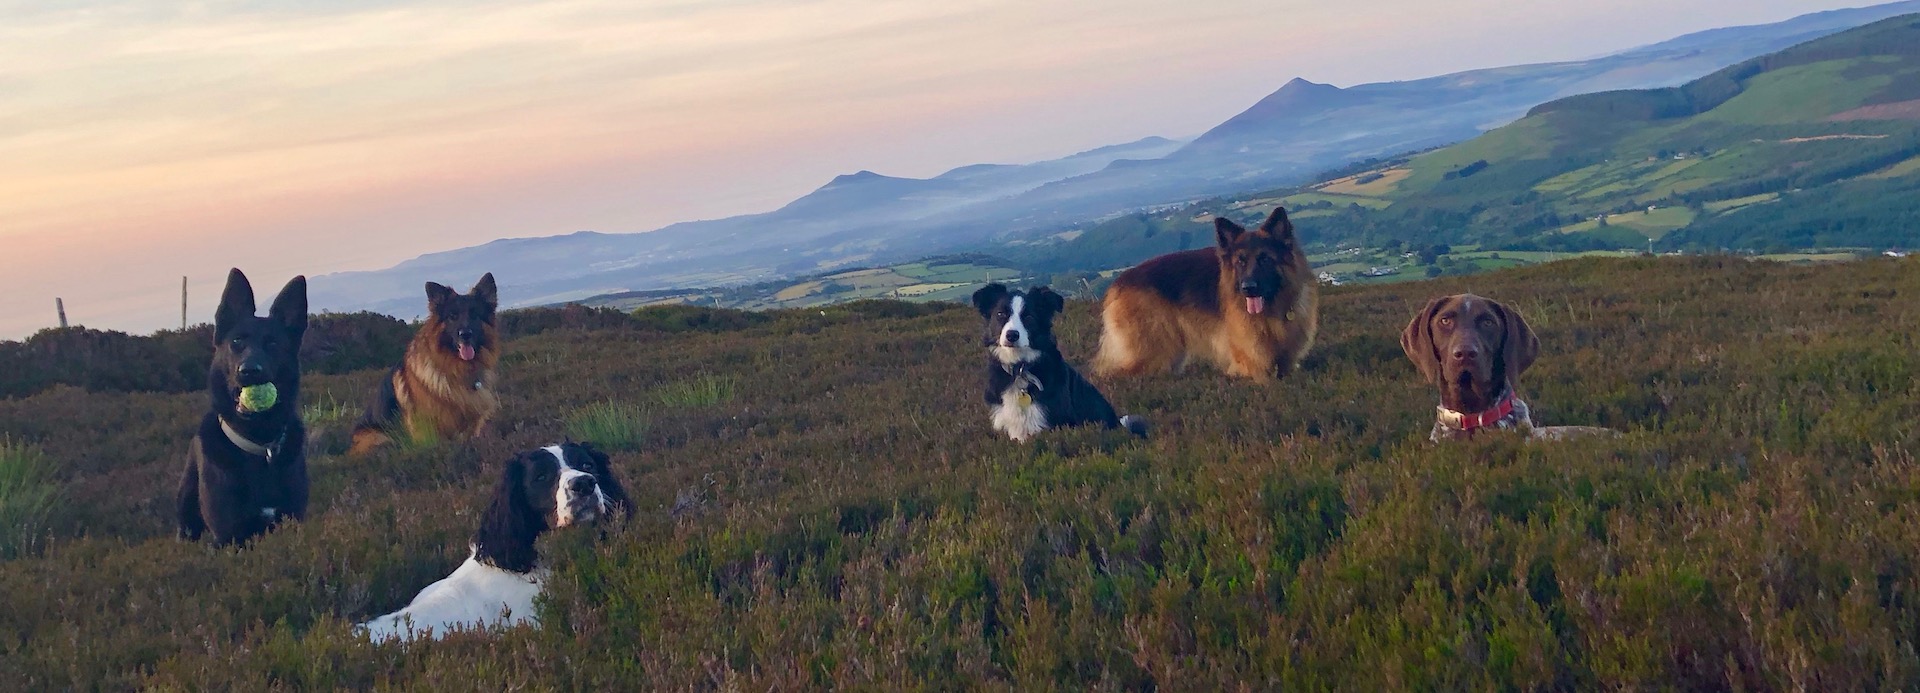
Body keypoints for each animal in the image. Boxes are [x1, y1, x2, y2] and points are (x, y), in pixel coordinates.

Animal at [177, 270, 311, 545]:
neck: (258, 443)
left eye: (273, 344)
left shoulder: (293, 519)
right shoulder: (228, 535)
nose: (249, 370)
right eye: (237, 341)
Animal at [351, 272, 503, 456]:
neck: (457, 372)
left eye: (474, 315)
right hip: (380, 438)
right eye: (452, 316)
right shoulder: (428, 434)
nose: (465, 334)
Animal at [1098, 206, 1320, 378]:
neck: (1273, 307)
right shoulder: (1251, 364)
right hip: (1153, 353)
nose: (1247, 288)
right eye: (1240, 261)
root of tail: (1117, 284)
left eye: (1265, 259)